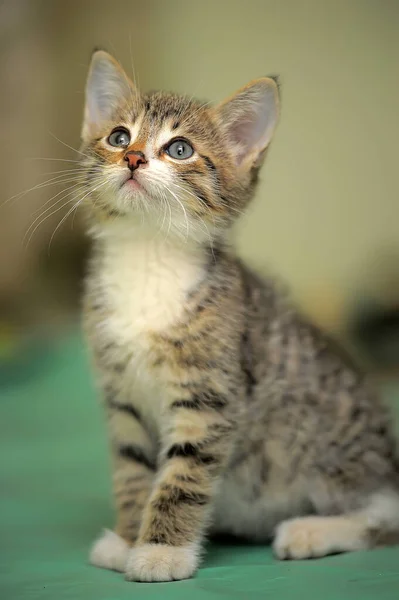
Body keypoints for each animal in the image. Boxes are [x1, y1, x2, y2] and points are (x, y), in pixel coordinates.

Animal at [79, 50, 398, 580]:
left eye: (180, 149)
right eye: (119, 137)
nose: (133, 157)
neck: (148, 255)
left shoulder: (211, 396)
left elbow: (182, 476)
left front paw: (160, 551)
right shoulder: (122, 397)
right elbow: (132, 468)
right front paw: (127, 538)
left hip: (329, 452)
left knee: (385, 513)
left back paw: (311, 531)